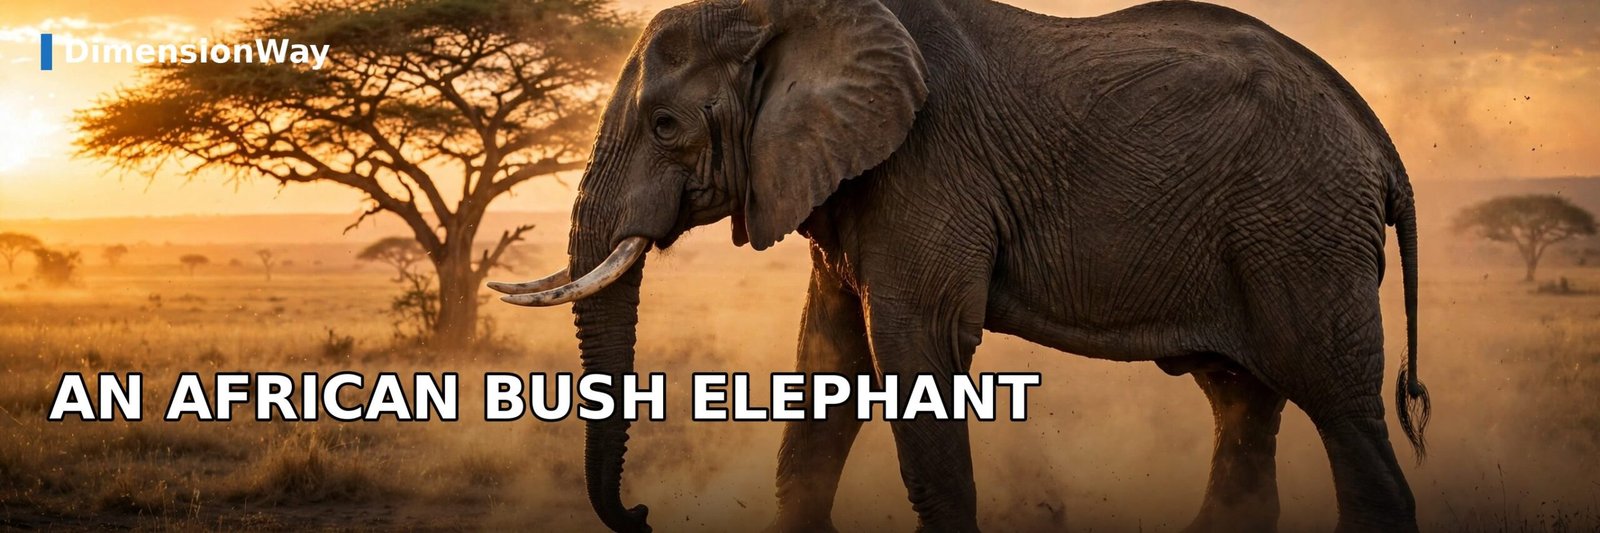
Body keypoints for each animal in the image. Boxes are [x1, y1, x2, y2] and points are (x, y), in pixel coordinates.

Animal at [490, 0, 1431, 531]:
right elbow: (827, 365)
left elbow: (913, 351)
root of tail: (1383, 143)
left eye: (665, 126)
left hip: (1304, 235)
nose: (643, 512)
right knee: (1242, 407)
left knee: (1340, 407)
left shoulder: (928, 165)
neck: (789, 13)